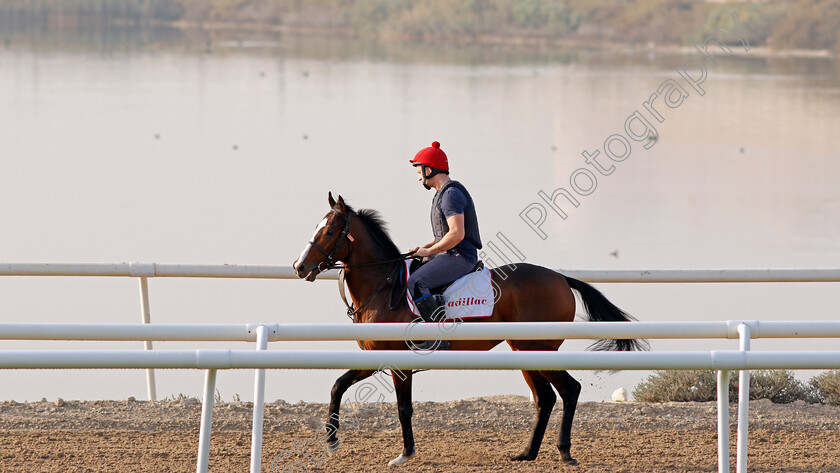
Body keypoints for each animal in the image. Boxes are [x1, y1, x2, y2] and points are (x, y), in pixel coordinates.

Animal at [292, 193, 648, 464]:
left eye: (329, 231)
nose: (299, 266)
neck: (383, 285)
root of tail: (560, 278)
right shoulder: (375, 359)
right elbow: (338, 385)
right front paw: (331, 439)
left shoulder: (399, 364)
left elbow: (404, 409)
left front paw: (405, 454)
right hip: (524, 351)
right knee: (545, 398)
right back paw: (527, 453)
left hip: (539, 348)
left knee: (569, 390)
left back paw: (564, 452)